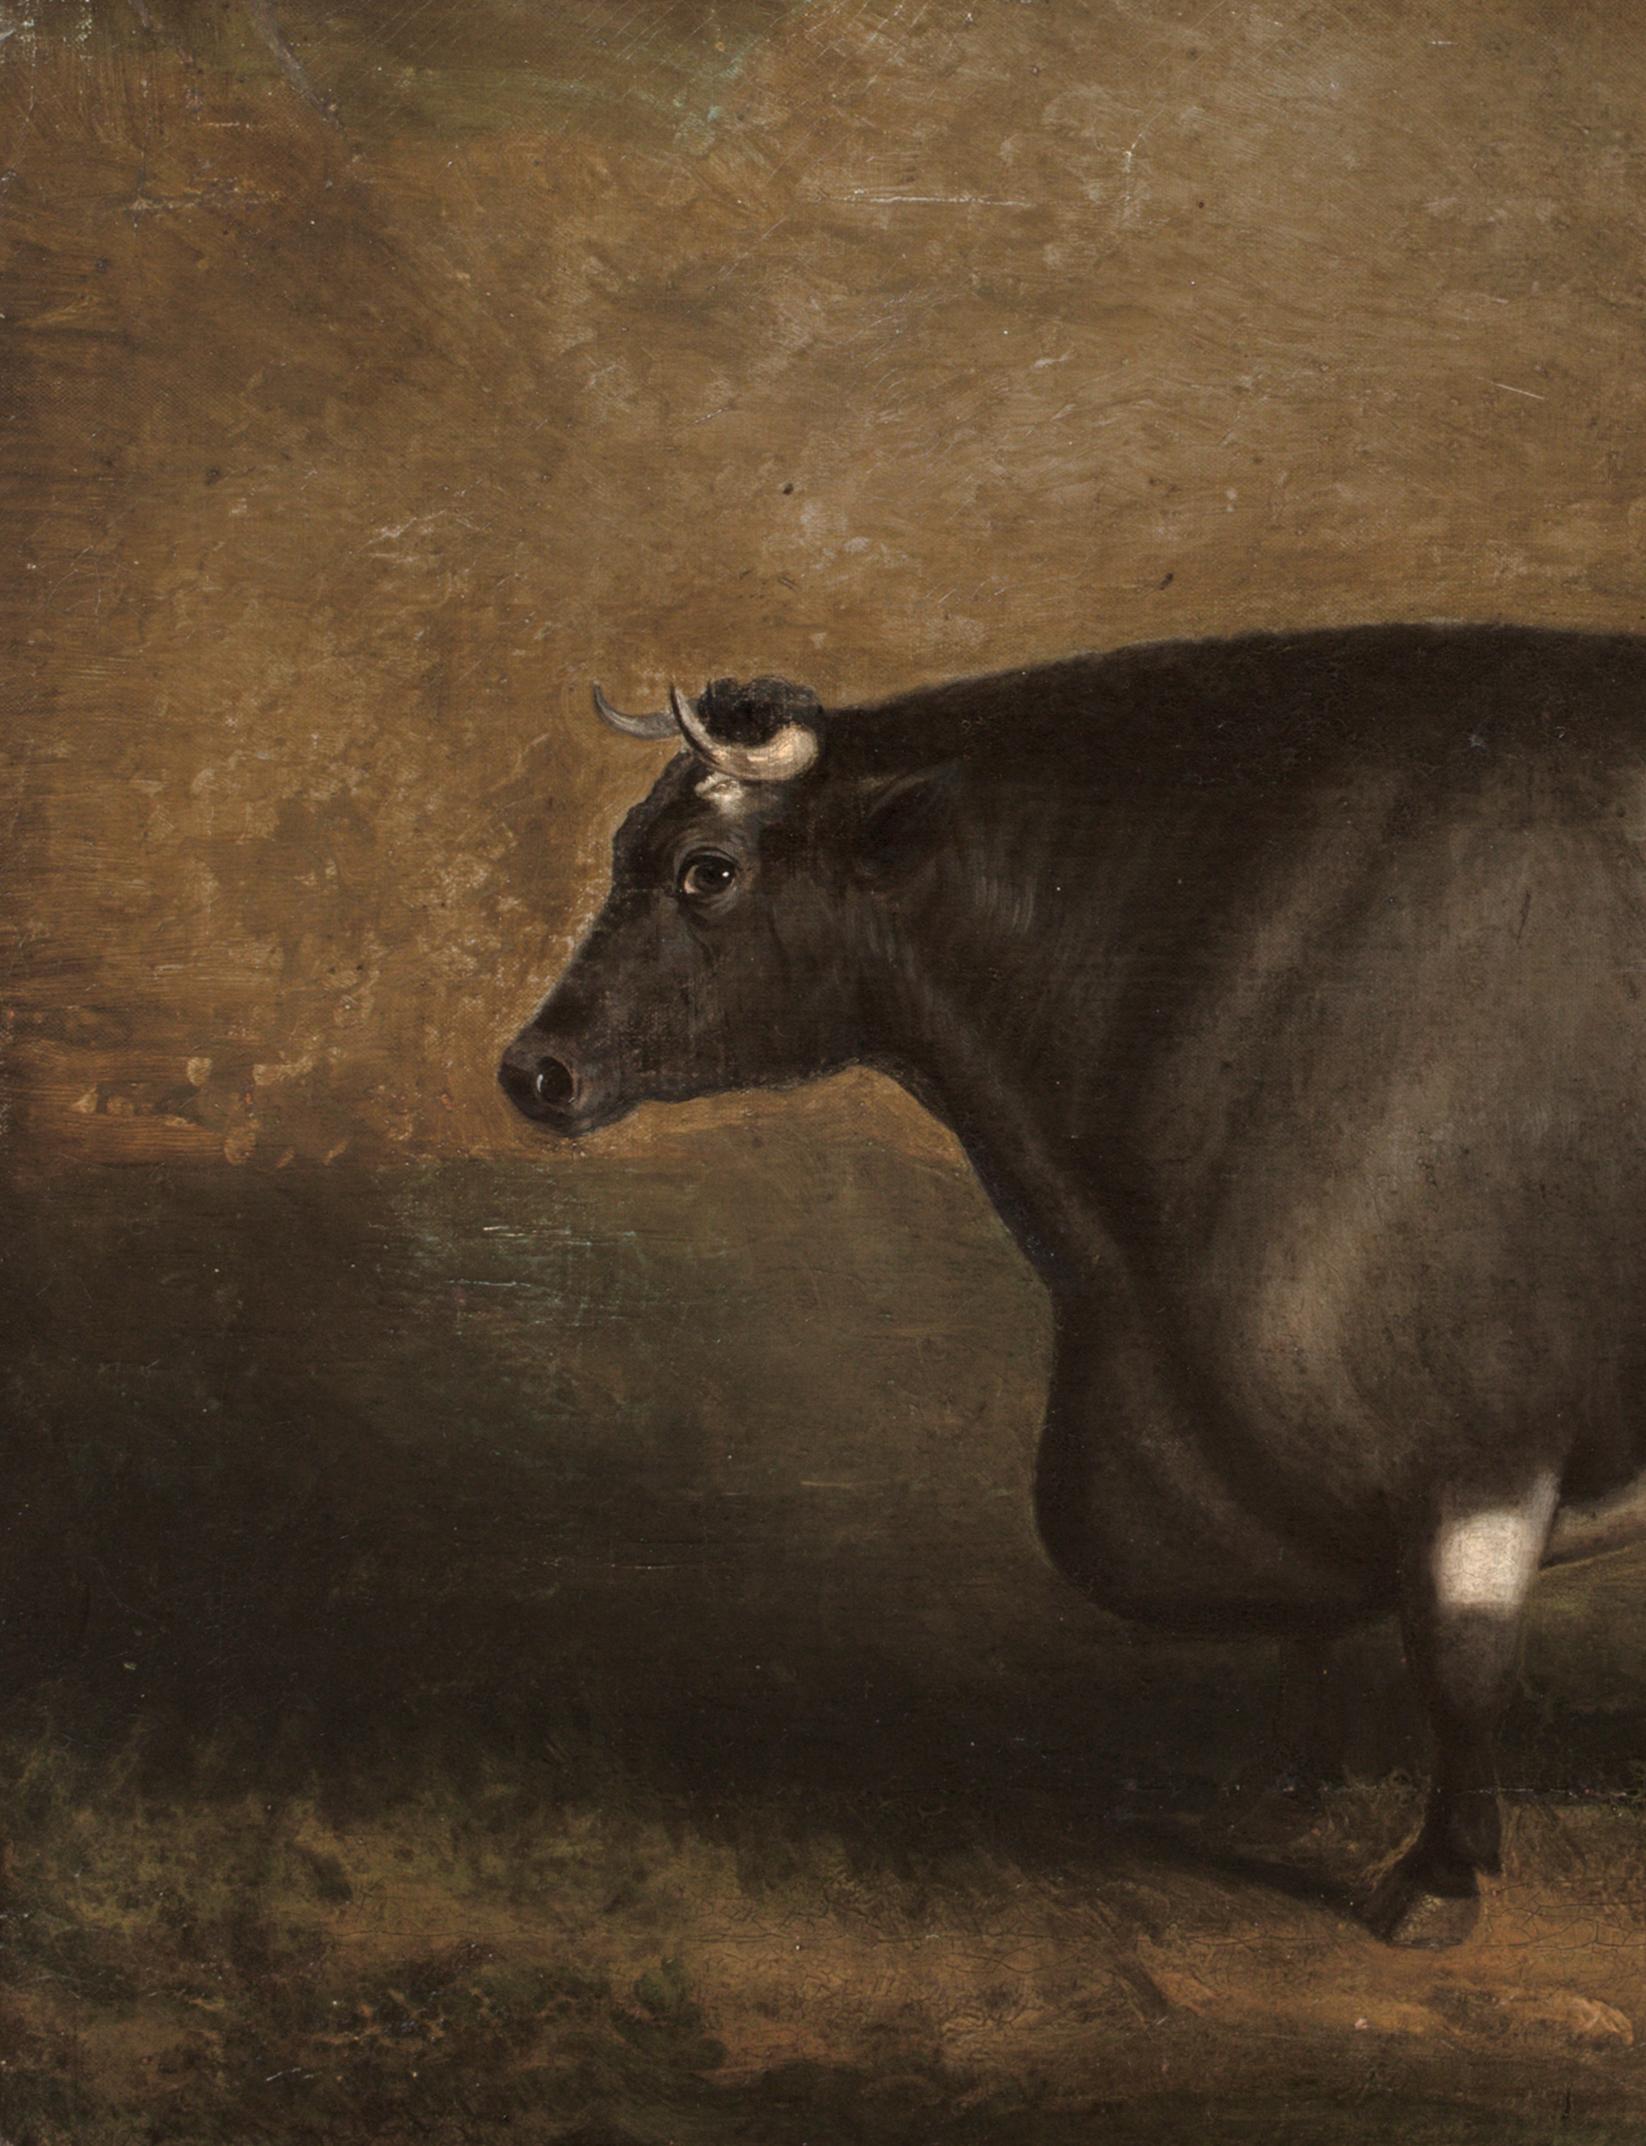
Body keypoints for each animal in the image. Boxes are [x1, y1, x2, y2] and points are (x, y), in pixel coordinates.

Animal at [499, 625, 1646, 1947]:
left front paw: (1441, 1873)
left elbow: (1460, 1661)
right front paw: (1306, 1786)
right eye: (623, 846)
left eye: (707, 871)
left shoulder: (1477, 1440)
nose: (534, 1069)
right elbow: (1321, 1646)